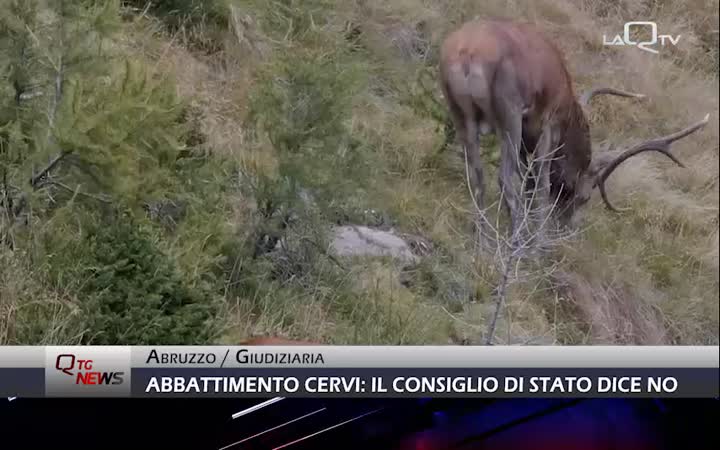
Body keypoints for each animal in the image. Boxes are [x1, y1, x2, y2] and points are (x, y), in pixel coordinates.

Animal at [438, 18, 708, 243]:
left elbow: (528, 181)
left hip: (458, 110)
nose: (566, 229)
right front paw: (537, 241)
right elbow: (541, 184)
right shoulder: (546, 124)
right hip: (510, 111)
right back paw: (515, 238)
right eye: (584, 196)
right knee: (503, 176)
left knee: (476, 175)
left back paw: (482, 238)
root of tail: (466, 53)